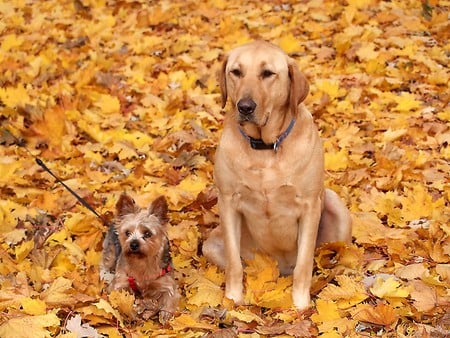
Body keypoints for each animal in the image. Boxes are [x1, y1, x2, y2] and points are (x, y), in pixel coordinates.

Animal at [202, 41, 354, 310]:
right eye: (236, 72)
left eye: (268, 73)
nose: (245, 107)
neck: (264, 148)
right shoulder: (228, 201)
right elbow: (233, 264)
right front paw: (233, 300)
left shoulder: (309, 206)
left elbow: (304, 265)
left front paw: (300, 306)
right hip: (210, 245)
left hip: (335, 207)